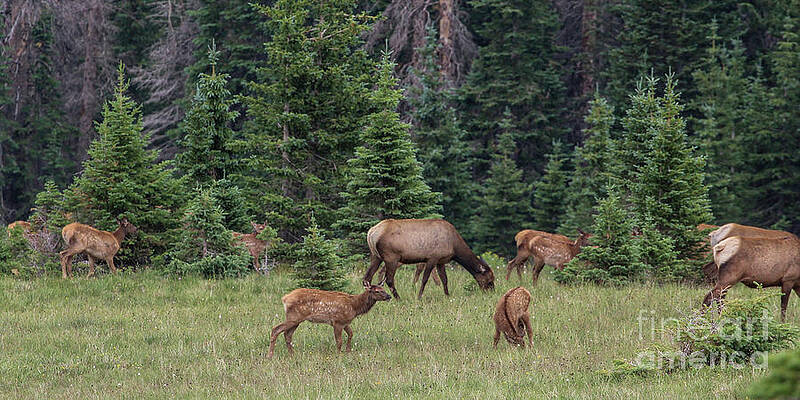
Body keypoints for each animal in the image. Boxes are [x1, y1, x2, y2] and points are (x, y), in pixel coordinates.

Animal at [362, 219, 495, 300]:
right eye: (489, 280)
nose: (492, 293)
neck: (454, 247)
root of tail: (371, 233)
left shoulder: (441, 261)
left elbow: (444, 279)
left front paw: (447, 295)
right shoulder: (432, 258)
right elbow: (425, 279)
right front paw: (419, 296)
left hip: (376, 256)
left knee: (366, 278)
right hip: (391, 257)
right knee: (389, 279)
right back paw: (399, 299)